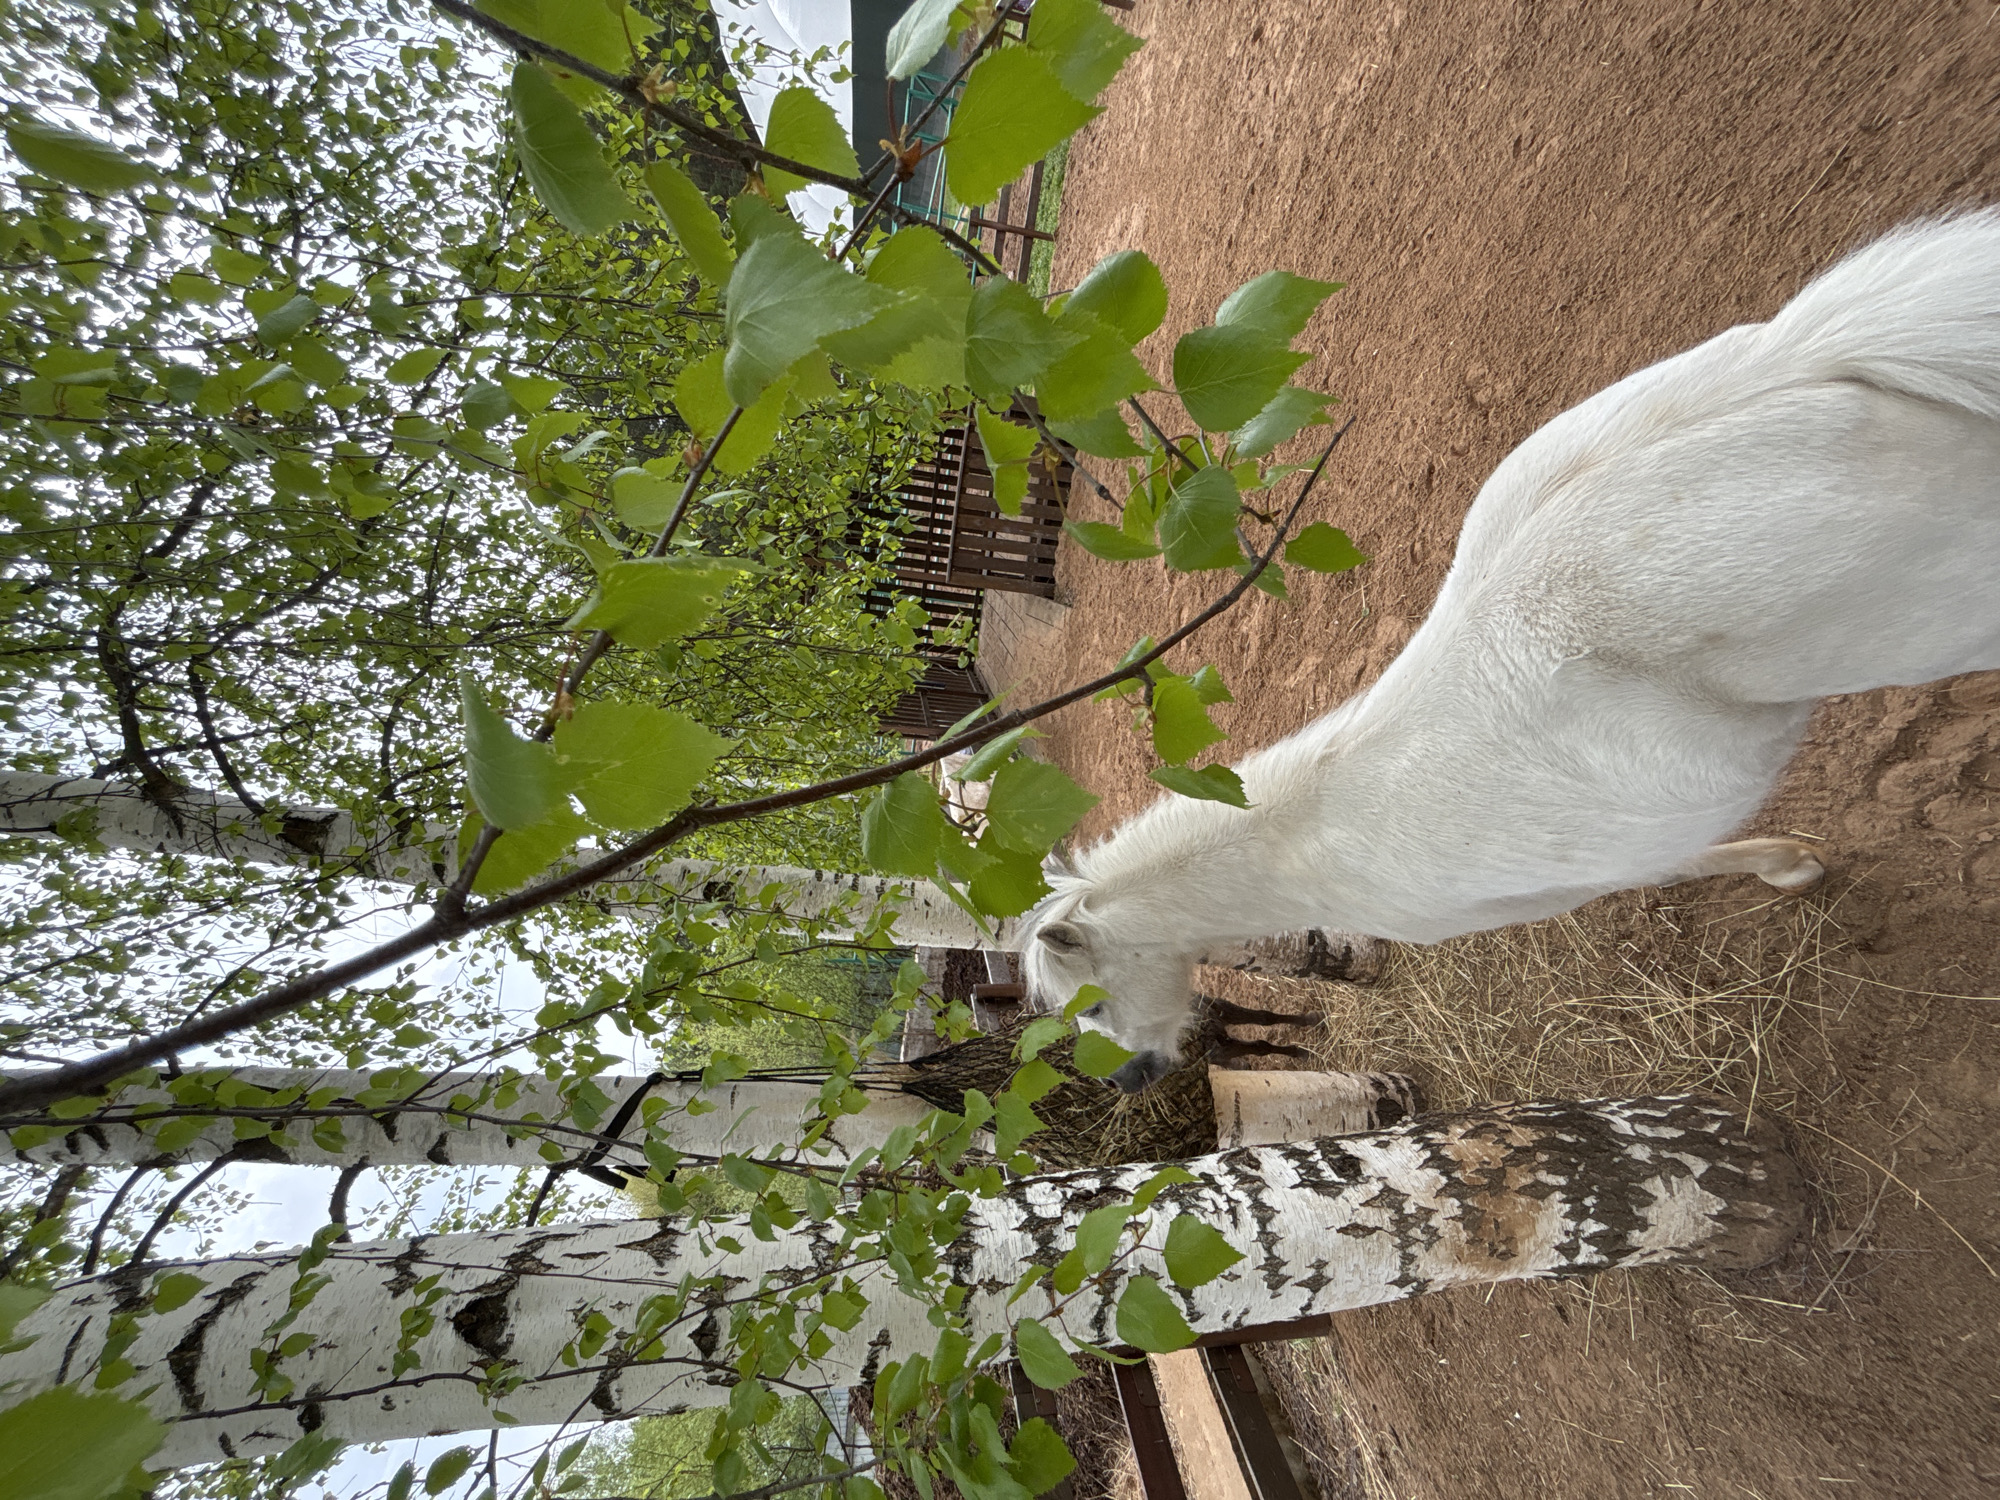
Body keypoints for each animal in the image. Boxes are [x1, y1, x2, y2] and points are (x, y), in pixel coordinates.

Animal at [1021, 212, 2000, 1092]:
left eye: (1091, 1003)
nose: (1129, 1080)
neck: (1307, 839)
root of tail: (1797, 365)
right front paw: (1793, 861)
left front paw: (1788, 867)